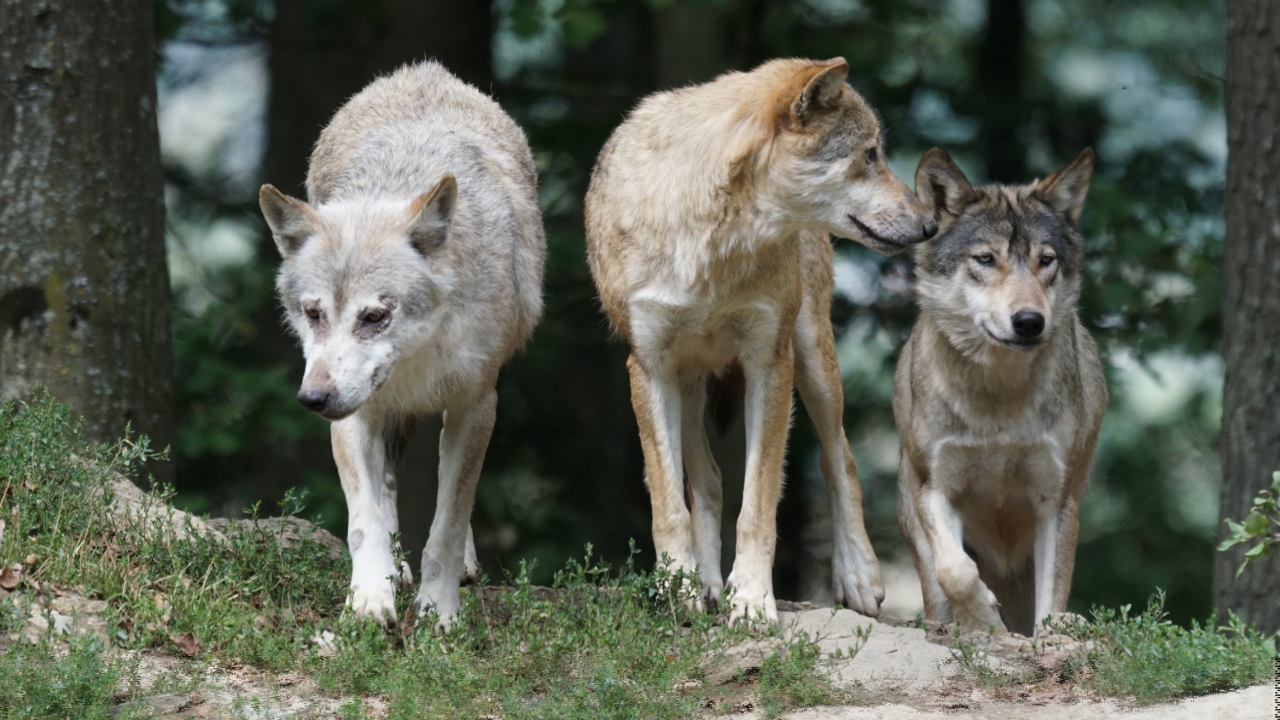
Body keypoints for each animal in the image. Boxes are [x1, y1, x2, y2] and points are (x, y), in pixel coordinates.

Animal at [258, 61, 546, 628]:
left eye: (374, 317)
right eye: (314, 313)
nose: (313, 399)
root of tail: (422, 70)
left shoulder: (477, 405)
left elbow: (448, 523)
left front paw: (439, 612)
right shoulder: (354, 414)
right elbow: (364, 520)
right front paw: (370, 599)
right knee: (387, 485)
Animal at [585, 57, 937, 624]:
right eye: (870, 155)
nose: (930, 225)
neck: (713, 243)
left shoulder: (769, 362)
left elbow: (759, 503)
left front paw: (750, 600)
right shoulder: (648, 367)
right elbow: (668, 503)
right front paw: (680, 589)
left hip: (813, 360)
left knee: (840, 456)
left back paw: (858, 577)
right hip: (687, 382)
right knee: (707, 480)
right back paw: (705, 585)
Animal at [893, 147, 1106, 636]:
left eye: (1046, 260)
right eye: (986, 259)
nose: (1029, 321)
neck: (998, 400)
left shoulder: (1057, 500)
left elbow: (1052, 601)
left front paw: (1049, 634)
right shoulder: (935, 486)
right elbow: (955, 571)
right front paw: (982, 619)